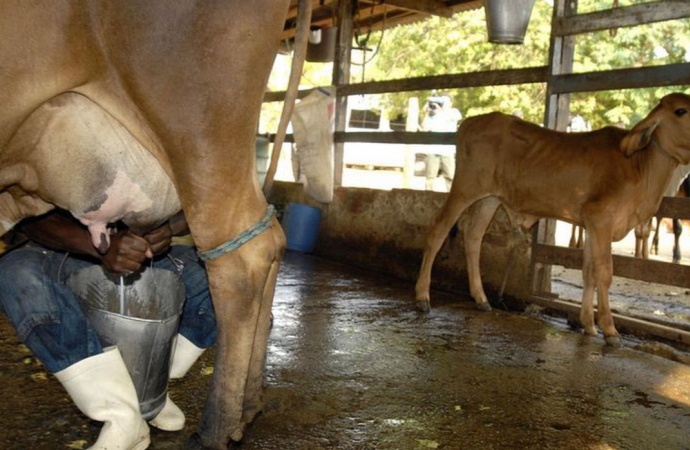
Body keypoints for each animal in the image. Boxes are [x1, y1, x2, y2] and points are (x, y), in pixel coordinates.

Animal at [414, 93, 690, 346]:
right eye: (681, 111)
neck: (638, 165)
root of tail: (471, 122)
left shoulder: (591, 225)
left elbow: (588, 271)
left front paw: (588, 325)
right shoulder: (601, 219)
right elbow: (603, 272)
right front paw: (610, 330)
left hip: (489, 198)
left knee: (473, 236)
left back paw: (481, 299)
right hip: (465, 188)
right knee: (439, 230)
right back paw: (423, 297)